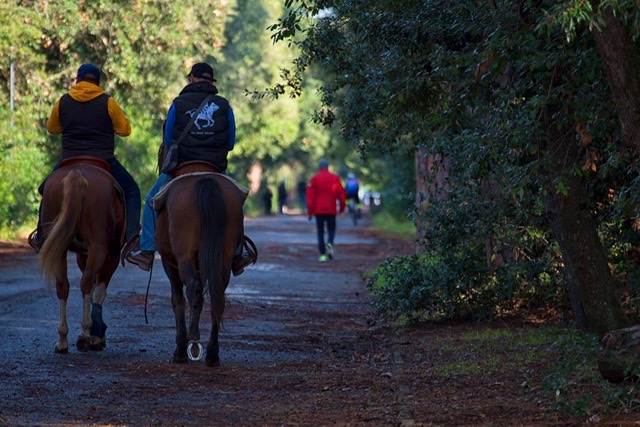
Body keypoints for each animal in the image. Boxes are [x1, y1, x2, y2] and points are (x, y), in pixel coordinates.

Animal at [39, 157, 127, 354]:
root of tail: (76, 174)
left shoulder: (82, 255)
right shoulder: (111, 256)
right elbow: (98, 291)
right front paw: (97, 335)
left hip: (59, 246)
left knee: (63, 285)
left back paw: (62, 339)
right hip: (99, 246)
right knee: (86, 282)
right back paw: (85, 334)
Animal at [152, 160, 248, 368]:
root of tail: (205, 182)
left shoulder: (170, 264)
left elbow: (177, 300)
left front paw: (180, 349)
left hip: (183, 257)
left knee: (192, 290)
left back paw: (192, 341)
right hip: (223, 257)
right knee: (217, 296)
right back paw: (212, 353)